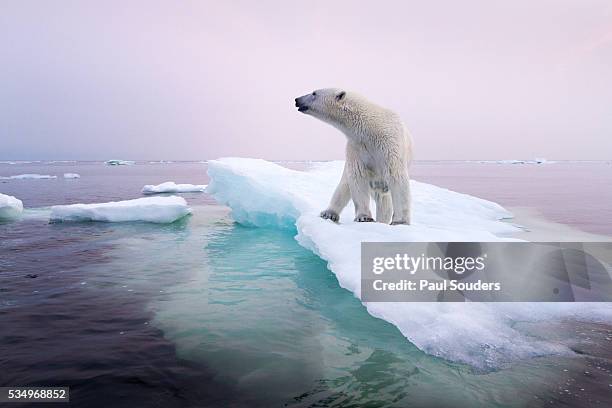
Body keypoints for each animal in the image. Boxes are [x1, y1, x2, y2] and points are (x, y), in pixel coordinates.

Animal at [296, 87, 414, 225]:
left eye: (314, 93)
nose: (297, 100)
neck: (371, 129)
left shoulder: (389, 144)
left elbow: (396, 176)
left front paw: (400, 221)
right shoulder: (356, 147)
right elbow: (357, 176)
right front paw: (364, 217)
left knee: (384, 200)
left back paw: (382, 221)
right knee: (344, 185)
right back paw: (329, 213)